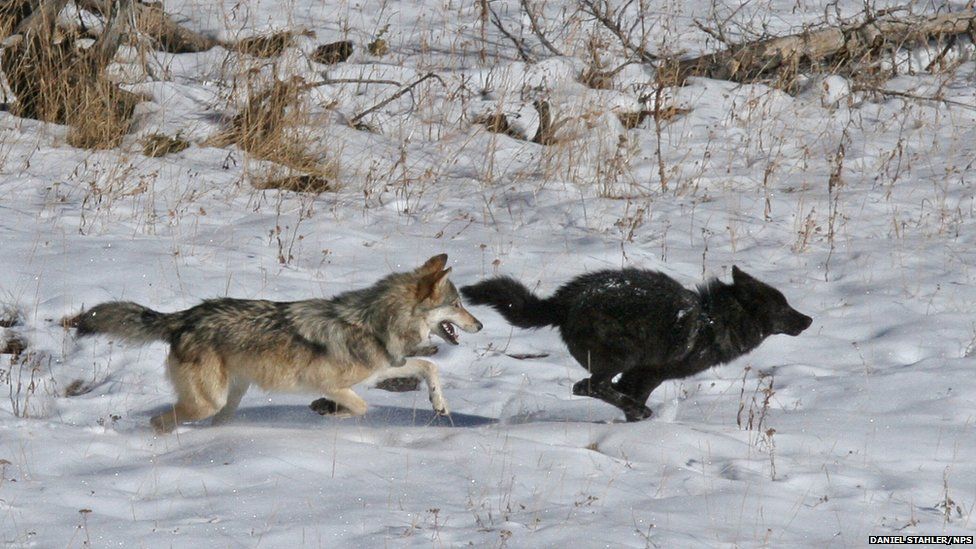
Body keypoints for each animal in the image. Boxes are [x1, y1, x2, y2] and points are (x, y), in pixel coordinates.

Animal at [68, 254, 480, 432]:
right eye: (458, 304)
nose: (478, 324)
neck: (376, 323)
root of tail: (184, 316)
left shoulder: (381, 370)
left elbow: (430, 365)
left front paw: (440, 404)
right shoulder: (329, 382)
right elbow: (361, 408)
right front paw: (325, 412)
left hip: (227, 402)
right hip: (207, 402)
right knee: (158, 420)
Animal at [462, 268, 812, 422]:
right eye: (784, 308)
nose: (809, 319)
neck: (714, 320)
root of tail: (563, 301)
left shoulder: (636, 377)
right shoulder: (649, 374)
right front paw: (638, 416)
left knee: (590, 386)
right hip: (624, 357)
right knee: (587, 386)